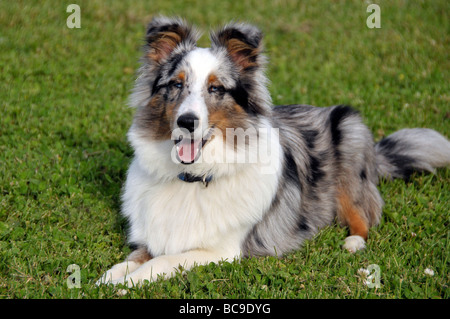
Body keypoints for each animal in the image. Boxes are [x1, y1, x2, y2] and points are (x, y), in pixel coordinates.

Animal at [96, 16, 450, 288]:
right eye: (176, 84)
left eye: (215, 88)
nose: (187, 122)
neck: (193, 177)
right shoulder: (151, 236)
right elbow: (134, 258)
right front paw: (109, 278)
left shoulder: (222, 251)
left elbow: (163, 261)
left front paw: (127, 283)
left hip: (350, 136)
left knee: (363, 216)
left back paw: (352, 242)